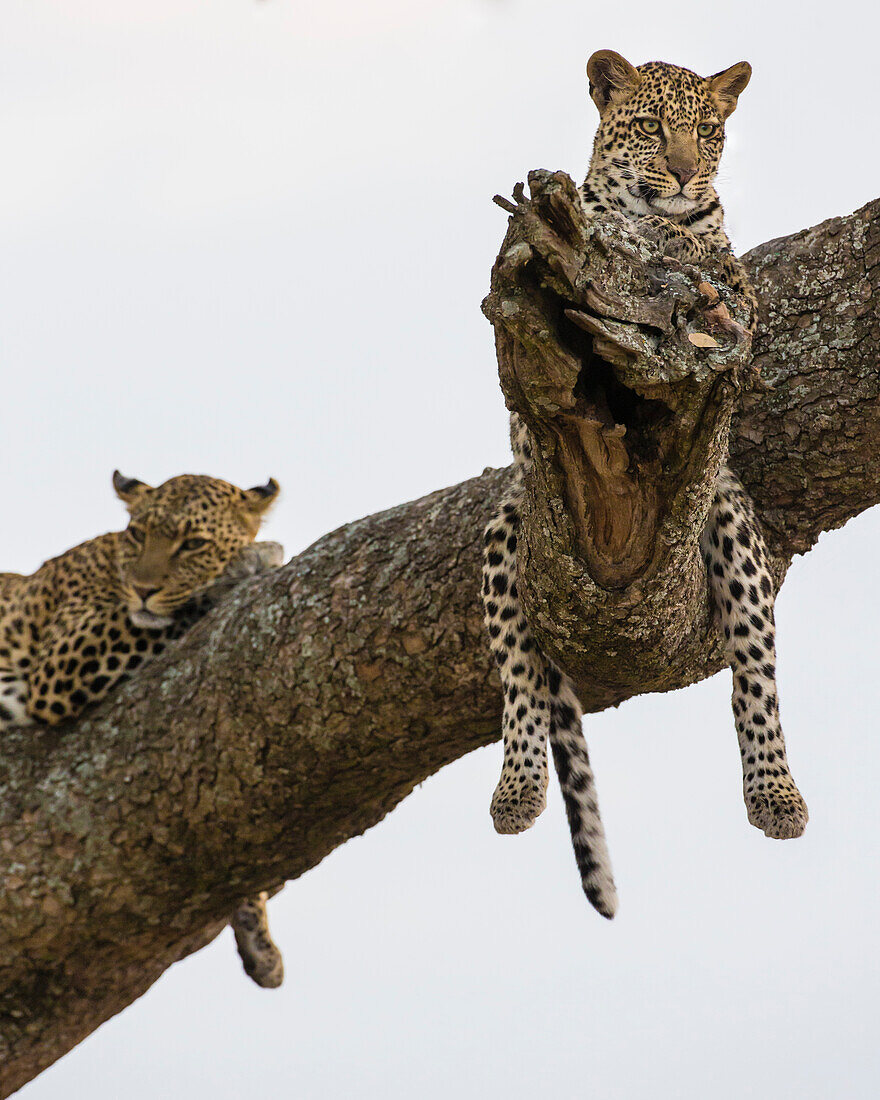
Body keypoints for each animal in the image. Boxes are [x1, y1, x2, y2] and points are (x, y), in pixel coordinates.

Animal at [0, 470, 288, 990]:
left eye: (193, 544)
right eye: (138, 534)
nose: (143, 589)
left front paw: (261, 944)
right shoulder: (59, 665)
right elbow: (158, 617)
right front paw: (253, 561)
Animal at [484, 51, 809, 919]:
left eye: (708, 130)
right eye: (653, 127)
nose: (687, 174)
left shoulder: (731, 292)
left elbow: (711, 269)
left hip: (725, 516)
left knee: (755, 671)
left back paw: (777, 797)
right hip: (509, 526)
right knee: (519, 675)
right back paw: (516, 791)